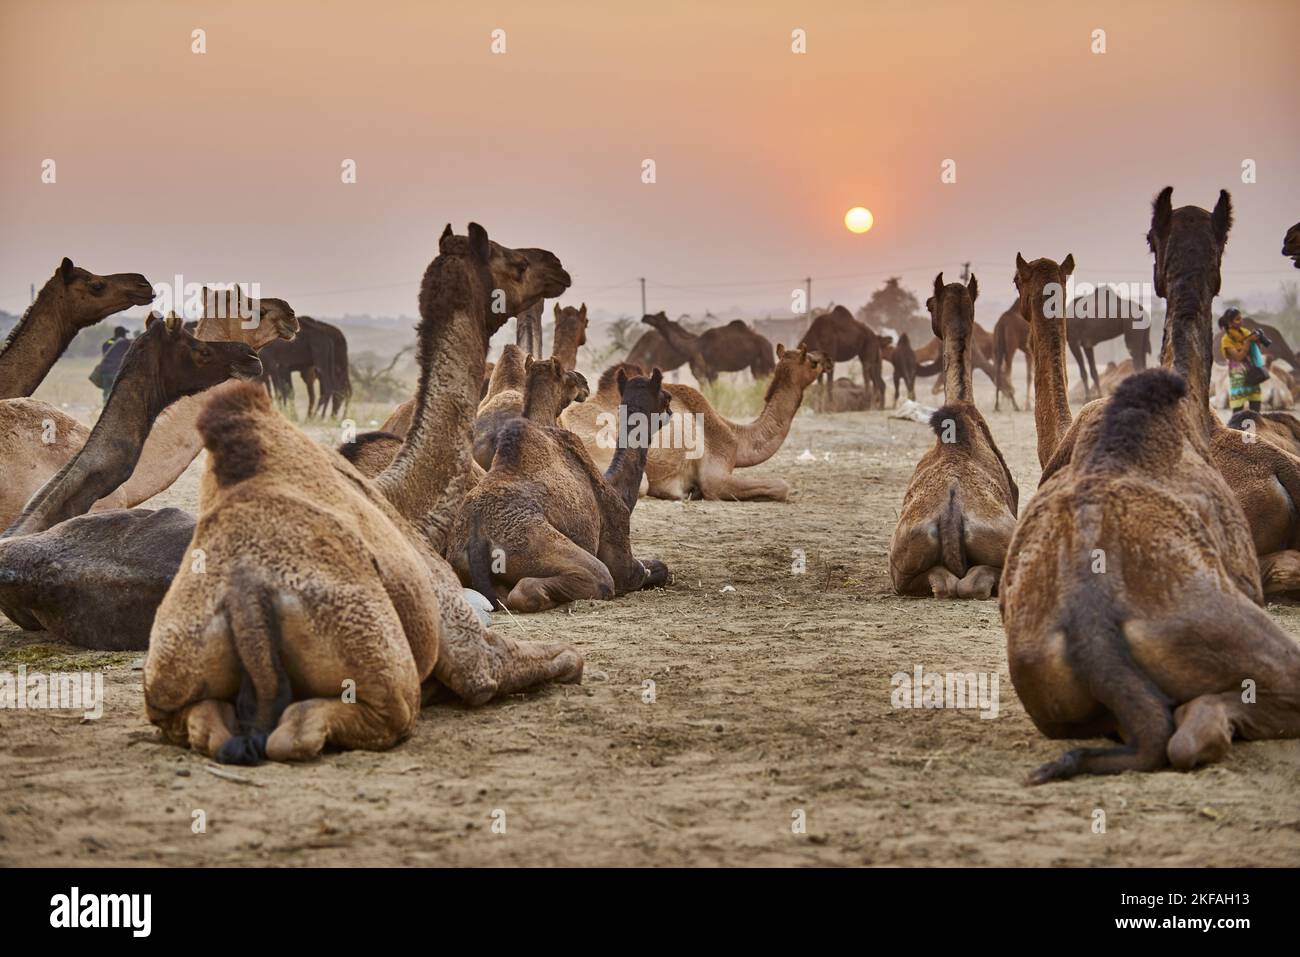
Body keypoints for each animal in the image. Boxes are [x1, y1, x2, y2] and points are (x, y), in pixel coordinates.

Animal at [144, 224, 582, 764]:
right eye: (514, 262)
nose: (557, 265)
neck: (402, 500)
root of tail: (245, 600)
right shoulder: (467, 641)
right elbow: (563, 658)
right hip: (379, 667)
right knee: (326, 724)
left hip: (169, 679)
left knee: (203, 721)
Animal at [445, 368, 672, 612]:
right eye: (665, 396)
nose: (670, 410)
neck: (614, 486)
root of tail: (476, 539)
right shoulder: (623, 554)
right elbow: (652, 569)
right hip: (536, 546)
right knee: (590, 578)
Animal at [641, 312, 776, 384]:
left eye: (656, 316)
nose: (645, 317)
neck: (697, 346)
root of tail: (769, 343)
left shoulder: (713, 370)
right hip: (755, 363)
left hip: (766, 357)